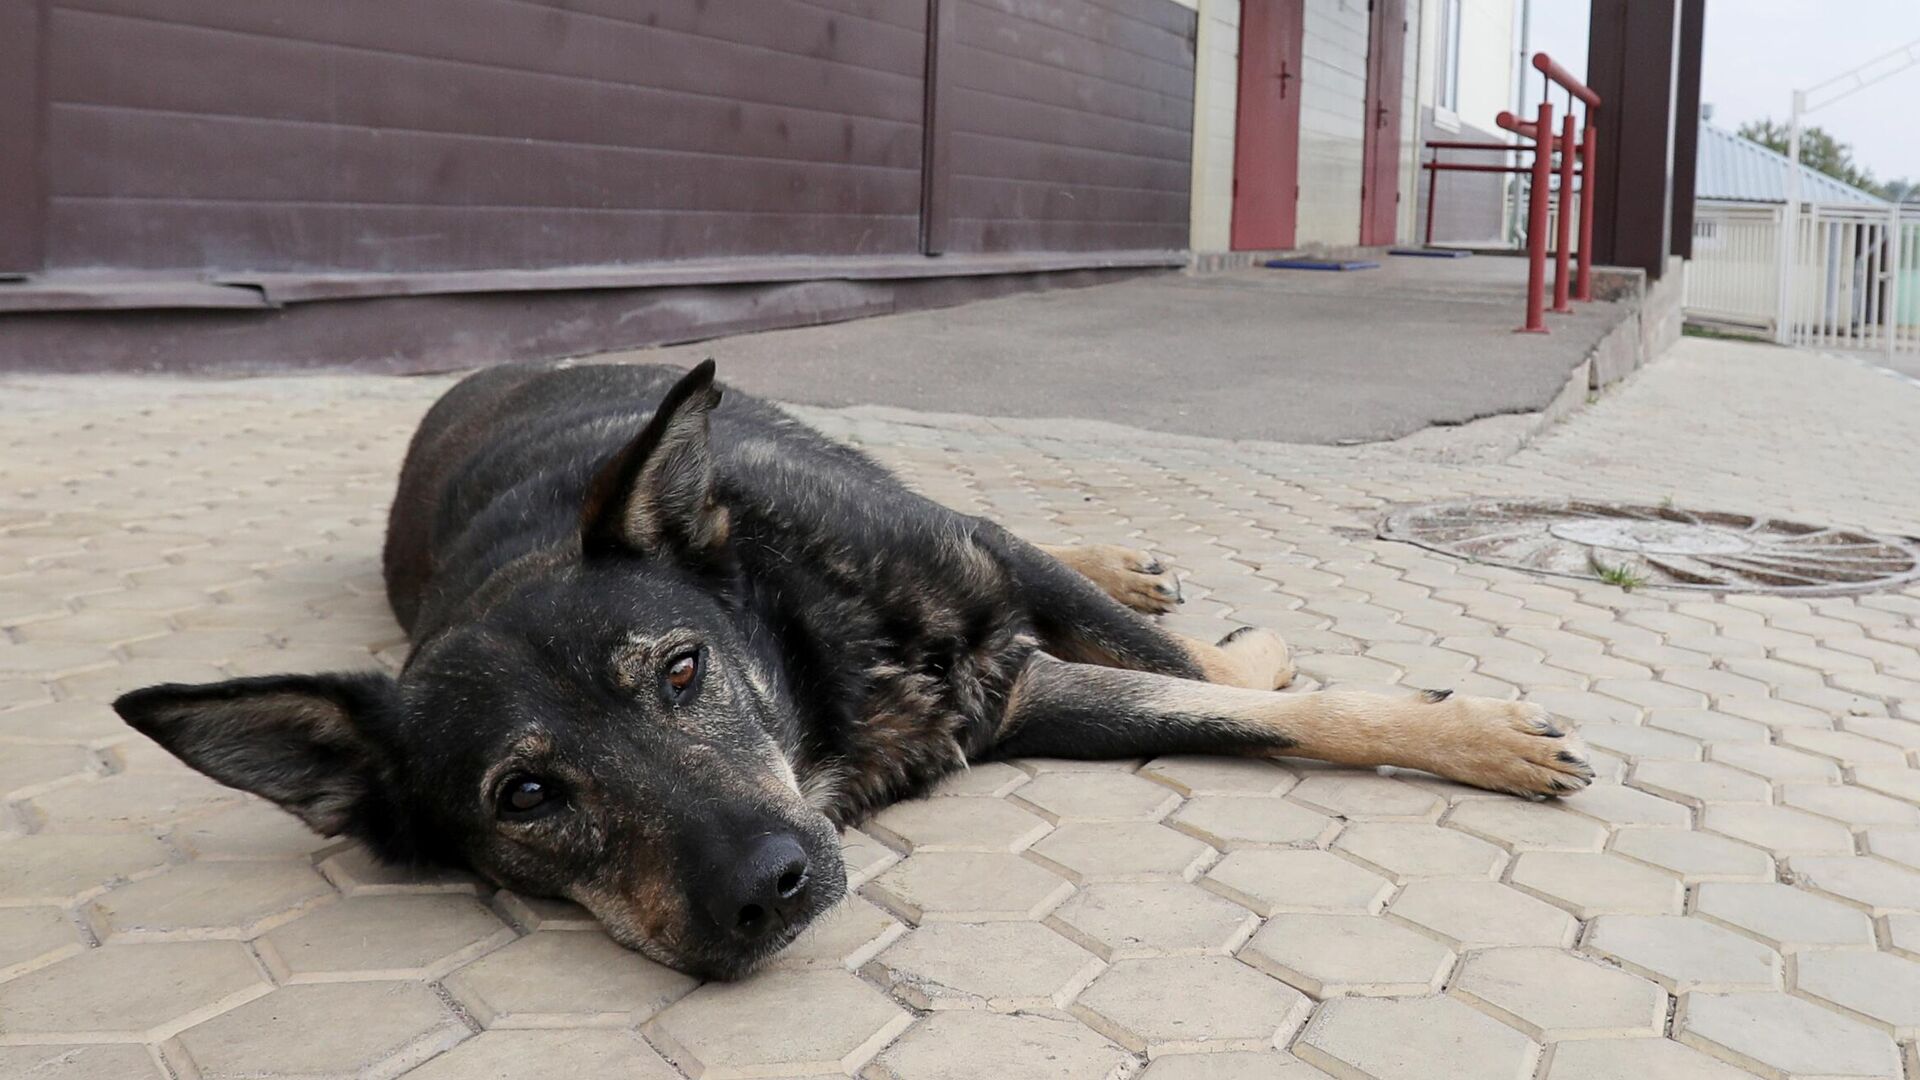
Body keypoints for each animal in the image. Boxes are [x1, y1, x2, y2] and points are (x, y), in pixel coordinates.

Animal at [112, 359, 1597, 976]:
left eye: (681, 671)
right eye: (525, 798)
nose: (765, 891)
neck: (811, 659)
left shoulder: (989, 581)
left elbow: (1215, 681)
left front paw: (1452, 726)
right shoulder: (1021, 703)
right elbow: (1229, 712)